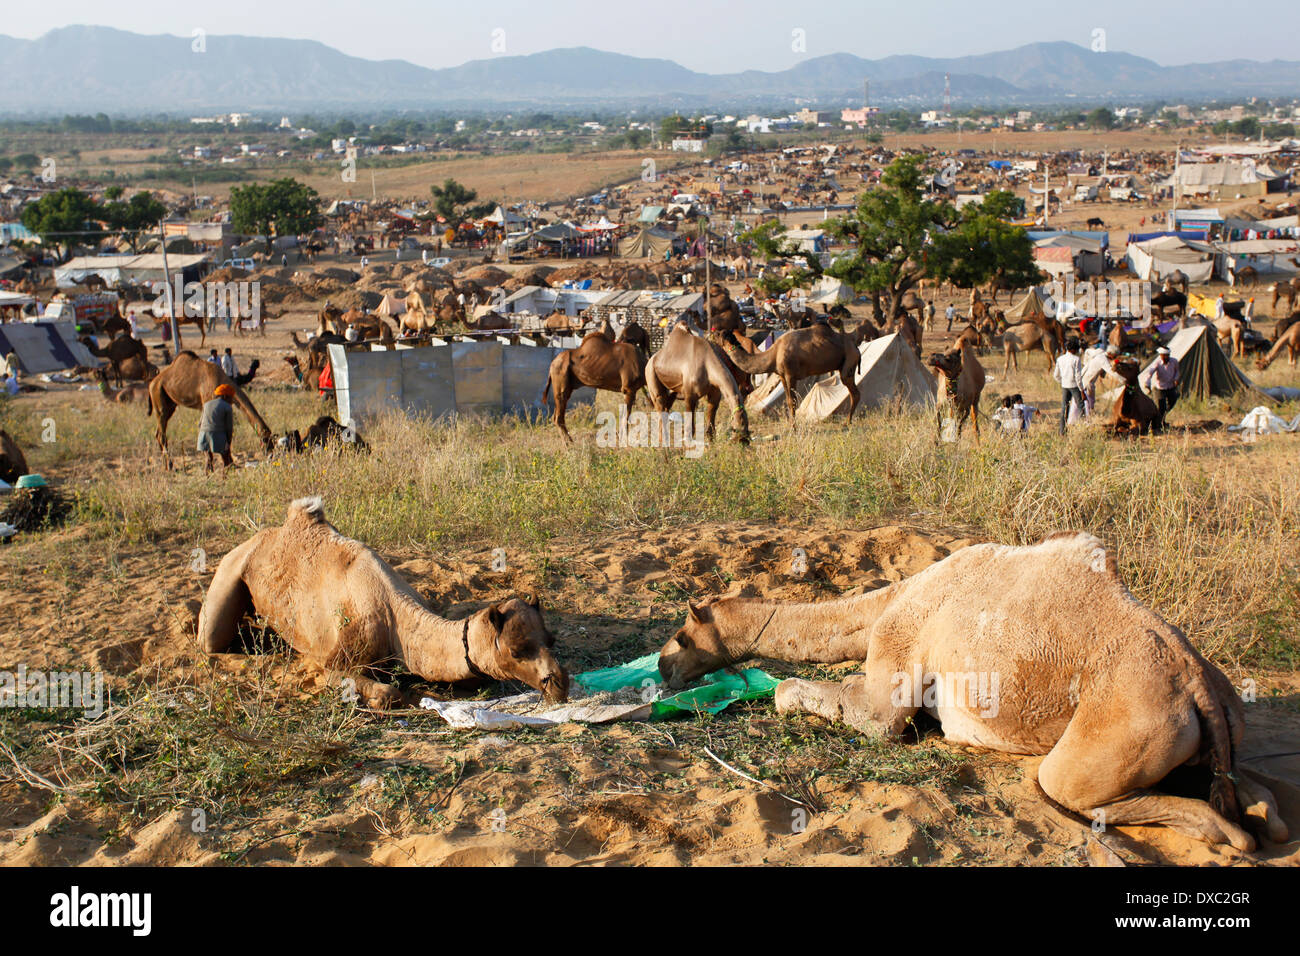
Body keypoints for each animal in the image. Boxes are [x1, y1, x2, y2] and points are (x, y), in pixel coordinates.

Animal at [198, 497, 568, 709]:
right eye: (516, 650)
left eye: (550, 640)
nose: (560, 684)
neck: (395, 619)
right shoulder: (331, 663)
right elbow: (387, 692)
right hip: (230, 571)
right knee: (211, 640)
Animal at [655, 533, 1286, 851]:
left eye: (682, 634)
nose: (662, 668)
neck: (890, 598)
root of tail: (1195, 679)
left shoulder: (896, 650)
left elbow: (834, 705)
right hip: (1219, 724)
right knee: (1250, 792)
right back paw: (1262, 815)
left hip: (1124, 725)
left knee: (1070, 786)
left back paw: (1229, 835)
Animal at [722, 324, 861, 423]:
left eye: (719, 334)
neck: (774, 354)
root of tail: (856, 348)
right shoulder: (782, 376)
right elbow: (788, 401)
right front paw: (790, 425)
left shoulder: (791, 375)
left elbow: (793, 402)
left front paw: (793, 429)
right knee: (853, 393)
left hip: (848, 364)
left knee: (855, 393)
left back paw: (847, 423)